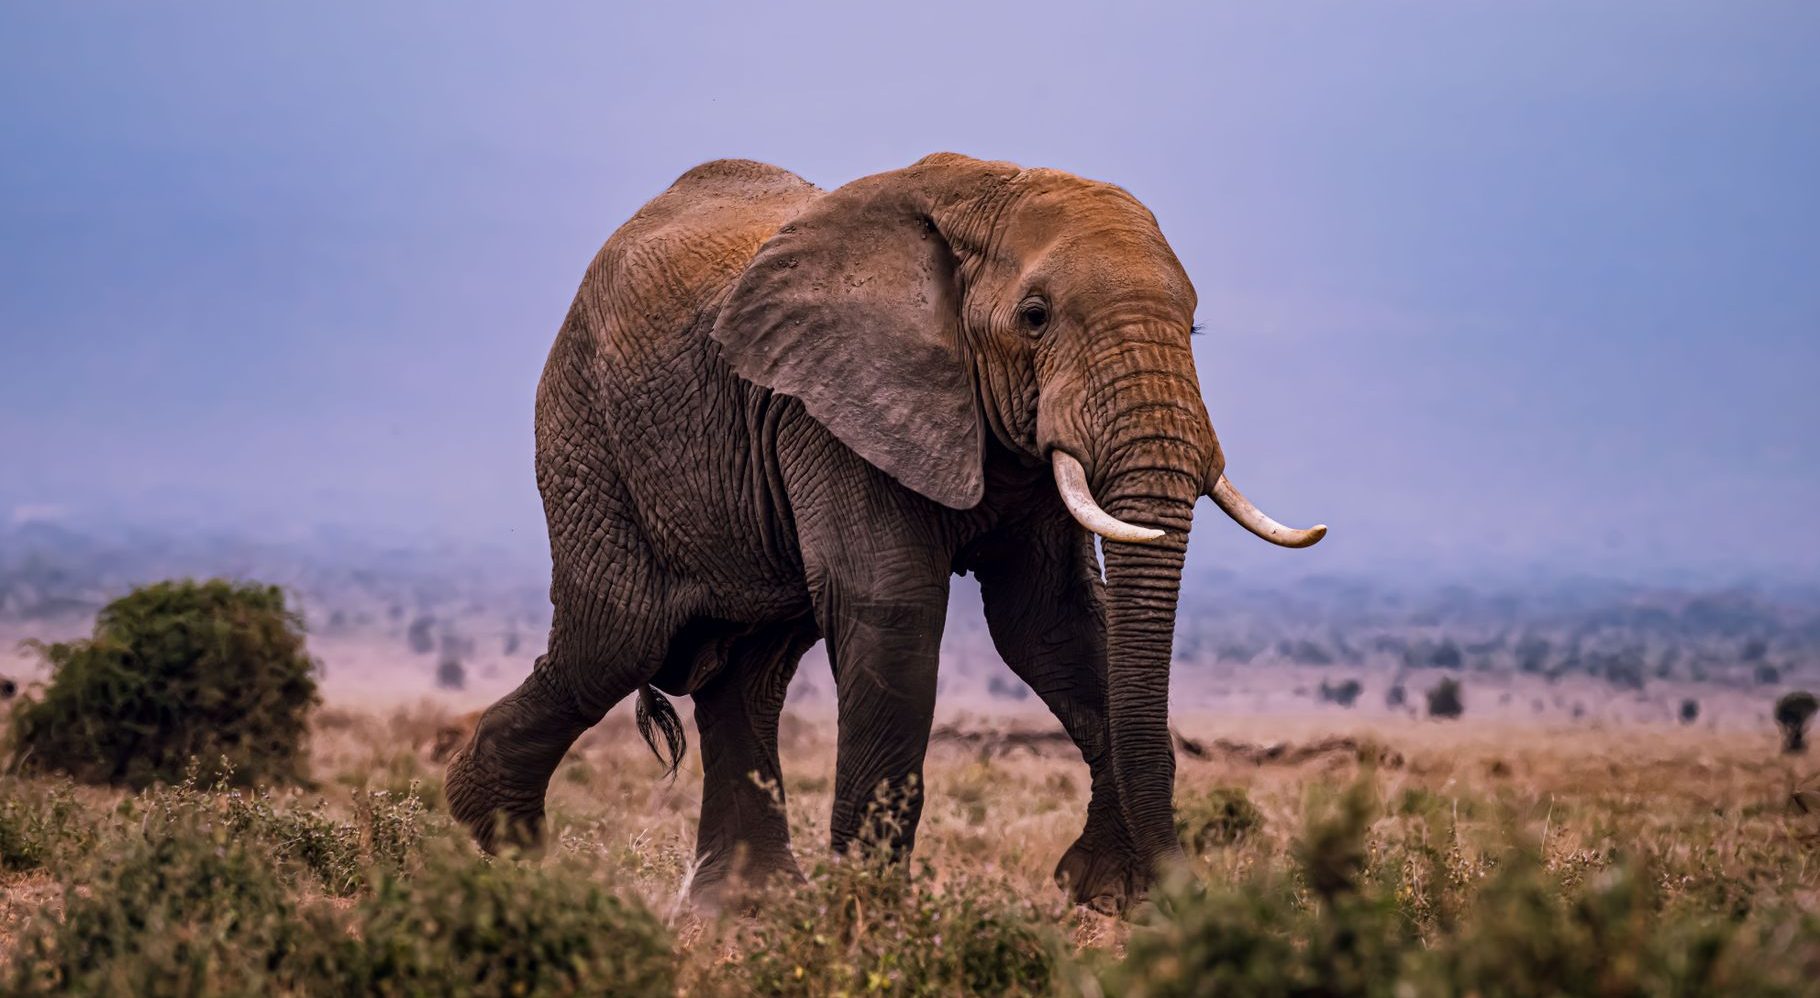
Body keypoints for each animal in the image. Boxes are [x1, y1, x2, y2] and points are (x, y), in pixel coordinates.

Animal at [445, 153, 1326, 912]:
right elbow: (893, 612)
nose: (1189, 899)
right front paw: (867, 928)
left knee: (748, 674)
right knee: (617, 638)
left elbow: (1055, 623)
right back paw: (494, 841)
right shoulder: (831, 406)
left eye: (1195, 328)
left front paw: (1110, 899)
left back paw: (743, 914)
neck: (985, 196)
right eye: (1035, 317)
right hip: (587, 430)